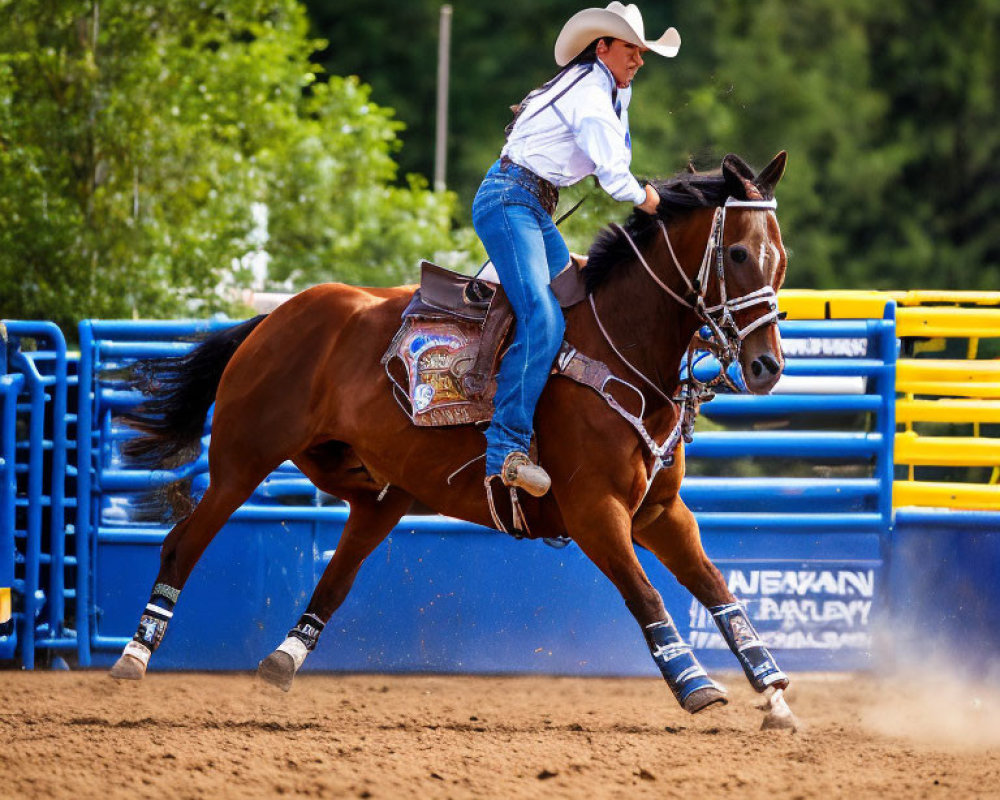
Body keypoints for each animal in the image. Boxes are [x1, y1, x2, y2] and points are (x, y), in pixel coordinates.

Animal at [113, 153, 792, 720]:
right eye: (737, 253)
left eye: (780, 258)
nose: (766, 366)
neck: (616, 343)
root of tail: (274, 316)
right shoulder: (595, 512)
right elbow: (646, 595)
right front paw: (696, 686)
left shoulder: (660, 512)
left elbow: (717, 588)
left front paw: (775, 694)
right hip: (242, 460)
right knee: (182, 544)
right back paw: (132, 660)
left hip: (372, 486)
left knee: (339, 572)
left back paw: (281, 661)